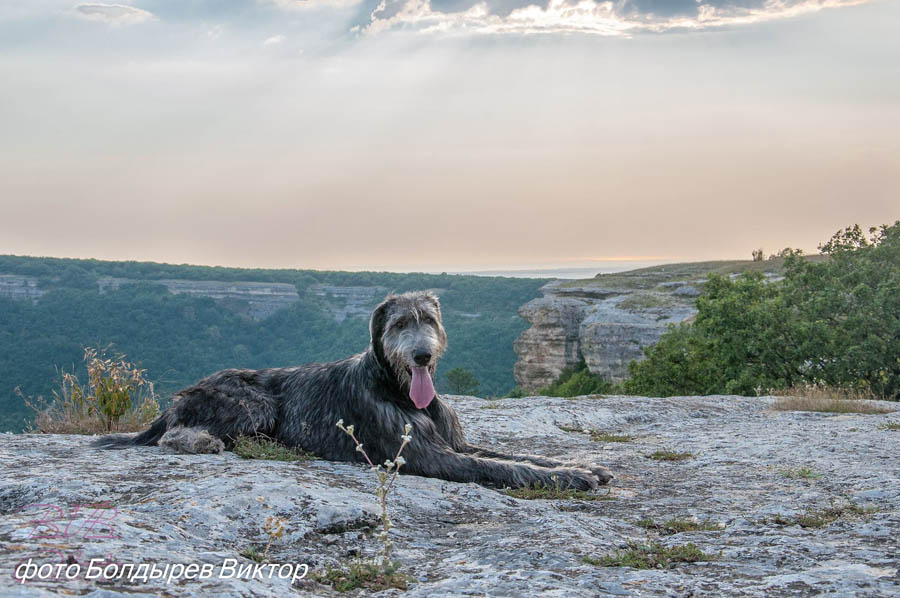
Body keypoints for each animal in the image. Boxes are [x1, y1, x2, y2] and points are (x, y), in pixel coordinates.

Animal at [96, 292, 612, 492]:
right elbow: (499, 467)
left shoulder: (454, 441)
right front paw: (571, 476)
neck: (396, 389)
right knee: (174, 434)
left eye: (430, 320)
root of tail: (186, 395)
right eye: (400, 324)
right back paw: (204, 441)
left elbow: (517, 455)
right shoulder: (426, 456)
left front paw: (582, 465)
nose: (421, 355)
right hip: (253, 401)